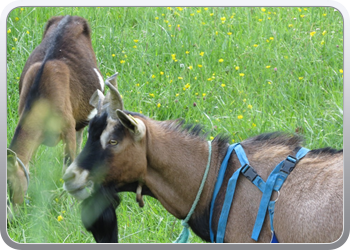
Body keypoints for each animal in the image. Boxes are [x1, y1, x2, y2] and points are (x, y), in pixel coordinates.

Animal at [7, 15, 104, 214]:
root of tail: (70, 17)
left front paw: (72, 206)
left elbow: (69, 168)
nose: (10, 216)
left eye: (9, 185)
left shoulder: (68, 129)